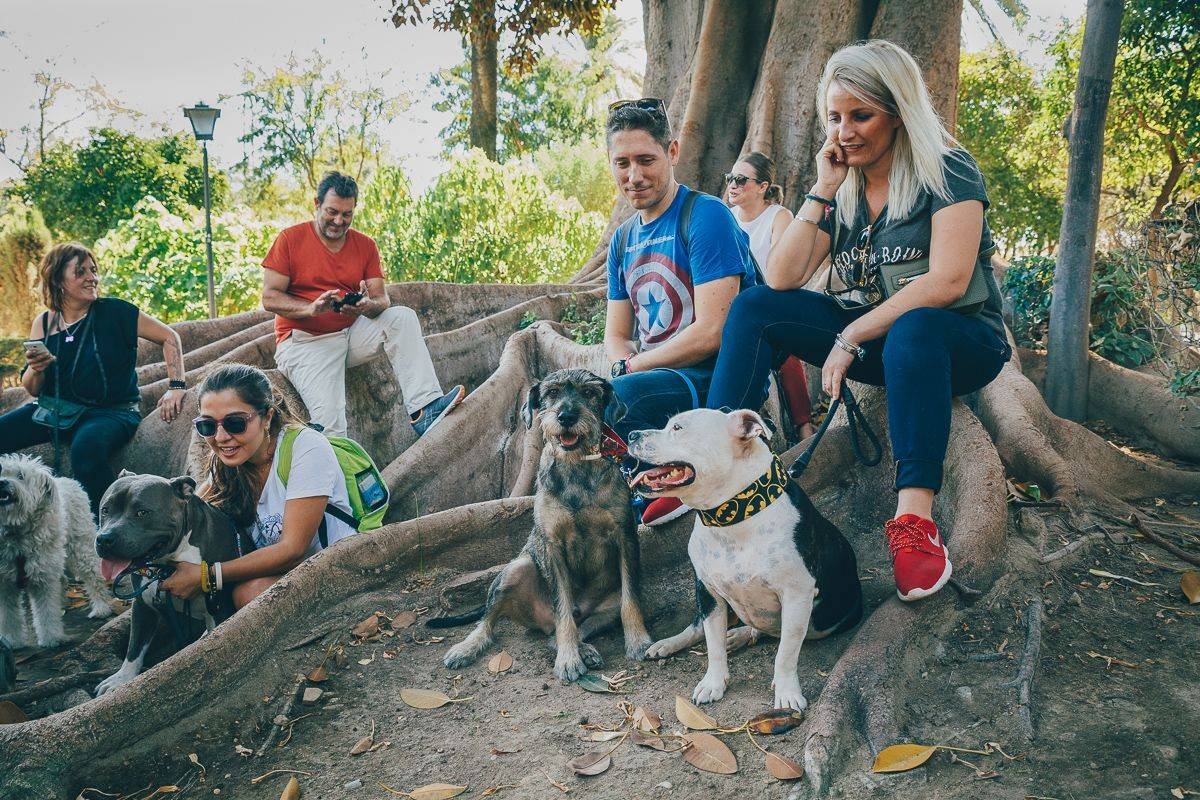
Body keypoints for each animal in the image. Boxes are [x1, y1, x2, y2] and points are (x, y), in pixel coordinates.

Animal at [0, 453, 119, 647]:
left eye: (20, 476)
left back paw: (101, 608)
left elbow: (47, 612)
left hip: (81, 547)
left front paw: (51, 639)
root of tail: (69, 480)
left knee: (94, 577)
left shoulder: (43, 579)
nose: (2, 482)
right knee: (63, 578)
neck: (18, 532)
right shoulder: (4, 583)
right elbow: (8, 616)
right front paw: (11, 641)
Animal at [95, 470, 253, 695]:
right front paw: (121, 679)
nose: (105, 539)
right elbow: (134, 647)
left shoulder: (219, 606)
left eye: (142, 512)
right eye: (105, 510)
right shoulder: (143, 605)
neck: (166, 564)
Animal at [432, 371, 652, 681]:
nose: (566, 416)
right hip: (515, 569)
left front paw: (638, 641)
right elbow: (563, 610)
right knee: (492, 622)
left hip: (604, 604)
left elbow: (631, 600)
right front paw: (569, 660)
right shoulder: (553, 546)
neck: (576, 466)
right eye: (552, 392)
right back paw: (467, 647)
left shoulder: (625, 537)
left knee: (565, 631)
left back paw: (585, 649)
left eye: (590, 393)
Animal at [628, 410, 864, 710]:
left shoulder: (796, 596)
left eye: (678, 428)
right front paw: (713, 683)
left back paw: (740, 635)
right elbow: (713, 646)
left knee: (771, 631)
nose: (632, 434)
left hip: (827, 621)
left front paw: (787, 693)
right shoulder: (708, 592)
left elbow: (786, 652)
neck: (733, 516)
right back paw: (670, 643)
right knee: (701, 627)